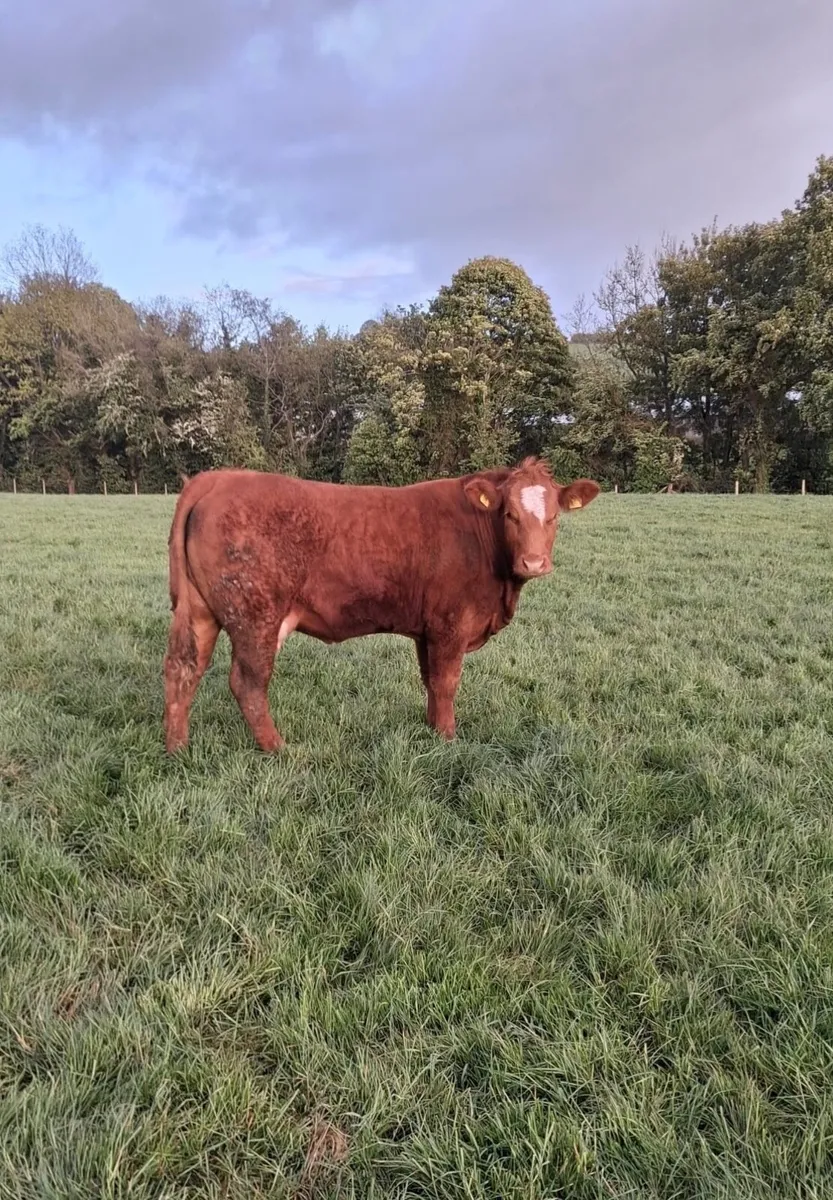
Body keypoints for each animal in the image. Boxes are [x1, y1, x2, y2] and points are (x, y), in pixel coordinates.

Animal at [162, 457, 600, 752]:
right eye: (509, 514)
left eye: (554, 517)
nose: (534, 563)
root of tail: (219, 477)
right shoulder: (451, 625)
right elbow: (447, 682)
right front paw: (448, 739)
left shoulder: (428, 629)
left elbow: (430, 680)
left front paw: (430, 727)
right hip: (256, 616)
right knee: (248, 683)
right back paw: (279, 749)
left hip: (200, 612)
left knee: (183, 669)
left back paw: (178, 748)